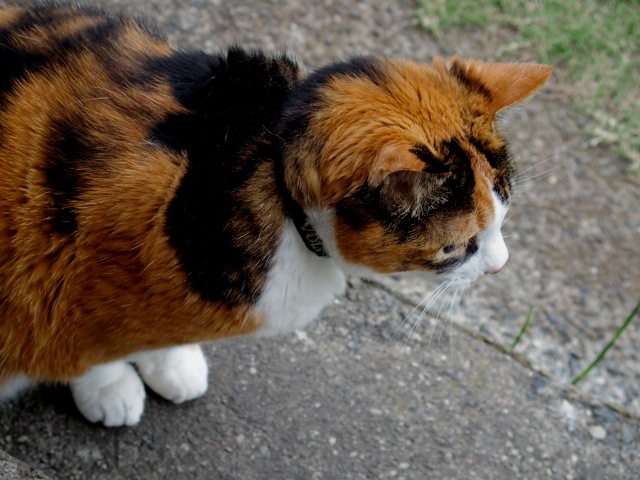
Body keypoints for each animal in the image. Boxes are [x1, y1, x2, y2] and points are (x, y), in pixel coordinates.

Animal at [0, 2, 552, 424]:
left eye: (503, 220)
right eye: (456, 247)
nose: (501, 266)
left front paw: (167, 363)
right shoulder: (65, 265)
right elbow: (86, 344)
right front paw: (110, 384)